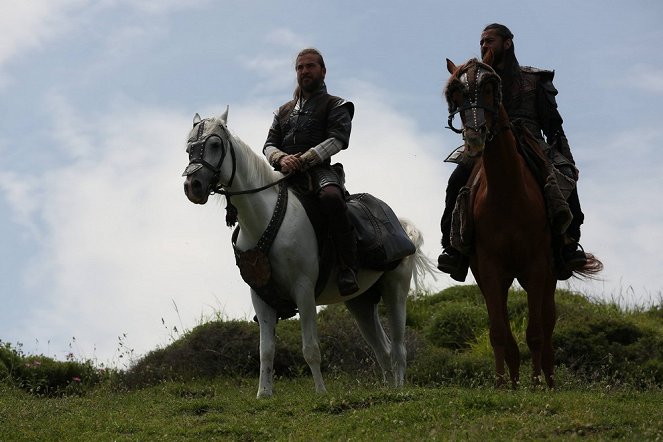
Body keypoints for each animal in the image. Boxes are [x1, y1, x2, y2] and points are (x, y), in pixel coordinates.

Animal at [182, 109, 436, 398]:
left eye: (214, 145)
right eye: (189, 148)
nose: (193, 186)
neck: (264, 219)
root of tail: (403, 226)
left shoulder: (303, 291)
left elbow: (311, 349)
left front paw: (321, 393)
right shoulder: (261, 296)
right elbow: (265, 350)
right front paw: (264, 394)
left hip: (396, 289)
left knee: (398, 349)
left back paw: (400, 389)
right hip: (360, 302)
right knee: (381, 349)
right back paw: (387, 389)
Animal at [444, 54, 604, 386]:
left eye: (489, 88)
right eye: (456, 93)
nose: (475, 138)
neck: (507, 194)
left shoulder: (536, 267)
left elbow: (535, 333)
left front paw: (536, 383)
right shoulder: (489, 270)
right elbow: (498, 333)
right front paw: (503, 384)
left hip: (549, 276)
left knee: (548, 325)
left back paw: (549, 379)